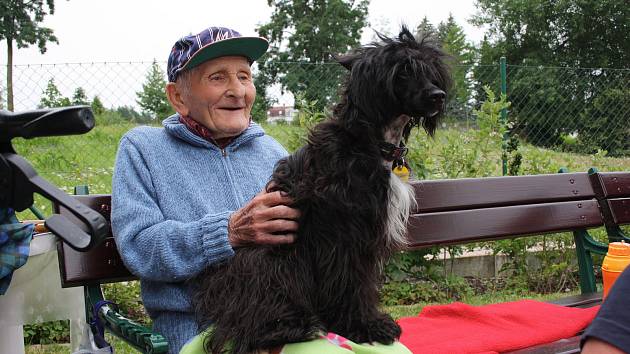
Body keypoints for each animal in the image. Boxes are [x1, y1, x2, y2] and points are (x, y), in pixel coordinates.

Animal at [195, 26, 452, 352]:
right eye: (403, 71)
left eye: (430, 71)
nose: (438, 96)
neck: (365, 141)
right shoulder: (344, 233)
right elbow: (350, 283)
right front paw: (363, 326)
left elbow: (362, 282)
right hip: (273, 260)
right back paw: (288, 326)